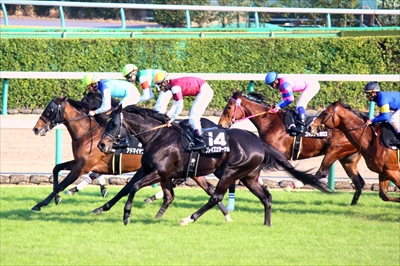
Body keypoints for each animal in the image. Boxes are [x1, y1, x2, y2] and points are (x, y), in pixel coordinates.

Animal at [94, 105, 332, 225]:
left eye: (113, 123)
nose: (101, 144)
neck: (158, 136)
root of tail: (258, 142)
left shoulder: (159, 171)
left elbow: (134, 187)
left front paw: (126, 215)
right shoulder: (147, 169)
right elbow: (126, 187)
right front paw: (101, 208)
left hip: (230, 172)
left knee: (216, 196)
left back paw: (188, 219)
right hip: (249, 176)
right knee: (266, 197)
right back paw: (266, 224)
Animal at [219, 90, 366, 205]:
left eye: (228, 107)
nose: (221, 124)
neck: (270, 122)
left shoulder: (278, 154)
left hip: (334, 151)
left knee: (321, 173)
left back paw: (292, 186)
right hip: (348, 158)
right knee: (359, 182)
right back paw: (352, 205)